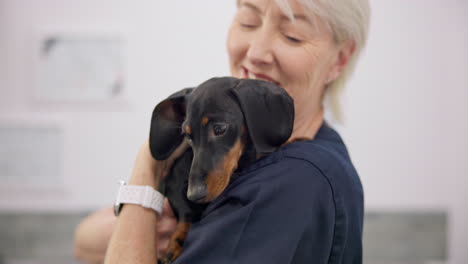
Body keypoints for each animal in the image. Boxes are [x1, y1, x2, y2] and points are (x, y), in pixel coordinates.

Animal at [149, 76, 292, 262]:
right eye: (187, 135)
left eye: (219, 129)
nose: (194, 194)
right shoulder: (173, 182)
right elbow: (186, 210)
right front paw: (176, 242)